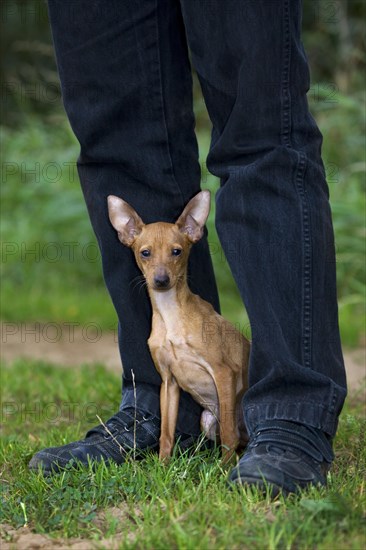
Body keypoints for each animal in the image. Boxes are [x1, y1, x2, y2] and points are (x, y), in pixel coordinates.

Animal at [107, 192, 250, 464]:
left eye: (177, 251)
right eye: (145, 253)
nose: (161, 280)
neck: (171, 314)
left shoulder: (224, 372)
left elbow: (229, 433)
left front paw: (225, 471)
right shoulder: (168, 382)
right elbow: (166, 433)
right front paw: (163, 466)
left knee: (237, 436)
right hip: (207, 420)